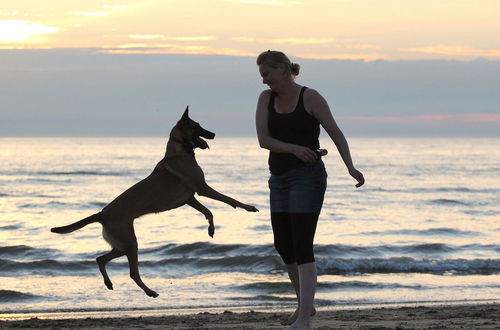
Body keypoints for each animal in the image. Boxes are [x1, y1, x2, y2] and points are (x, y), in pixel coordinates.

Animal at [50, 107, 258, 298]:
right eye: (197, 126)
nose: (213, 134)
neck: (179, 151)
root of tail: (102, 214)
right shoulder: (202, 188)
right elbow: (229, 199)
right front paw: (248, 207)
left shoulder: (190, 198)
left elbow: (208, 212)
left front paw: (211, 229)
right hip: (130, 243)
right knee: (132, 272)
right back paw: (150, 292)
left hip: (121, 244)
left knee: (100, 259)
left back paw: (109, 283)